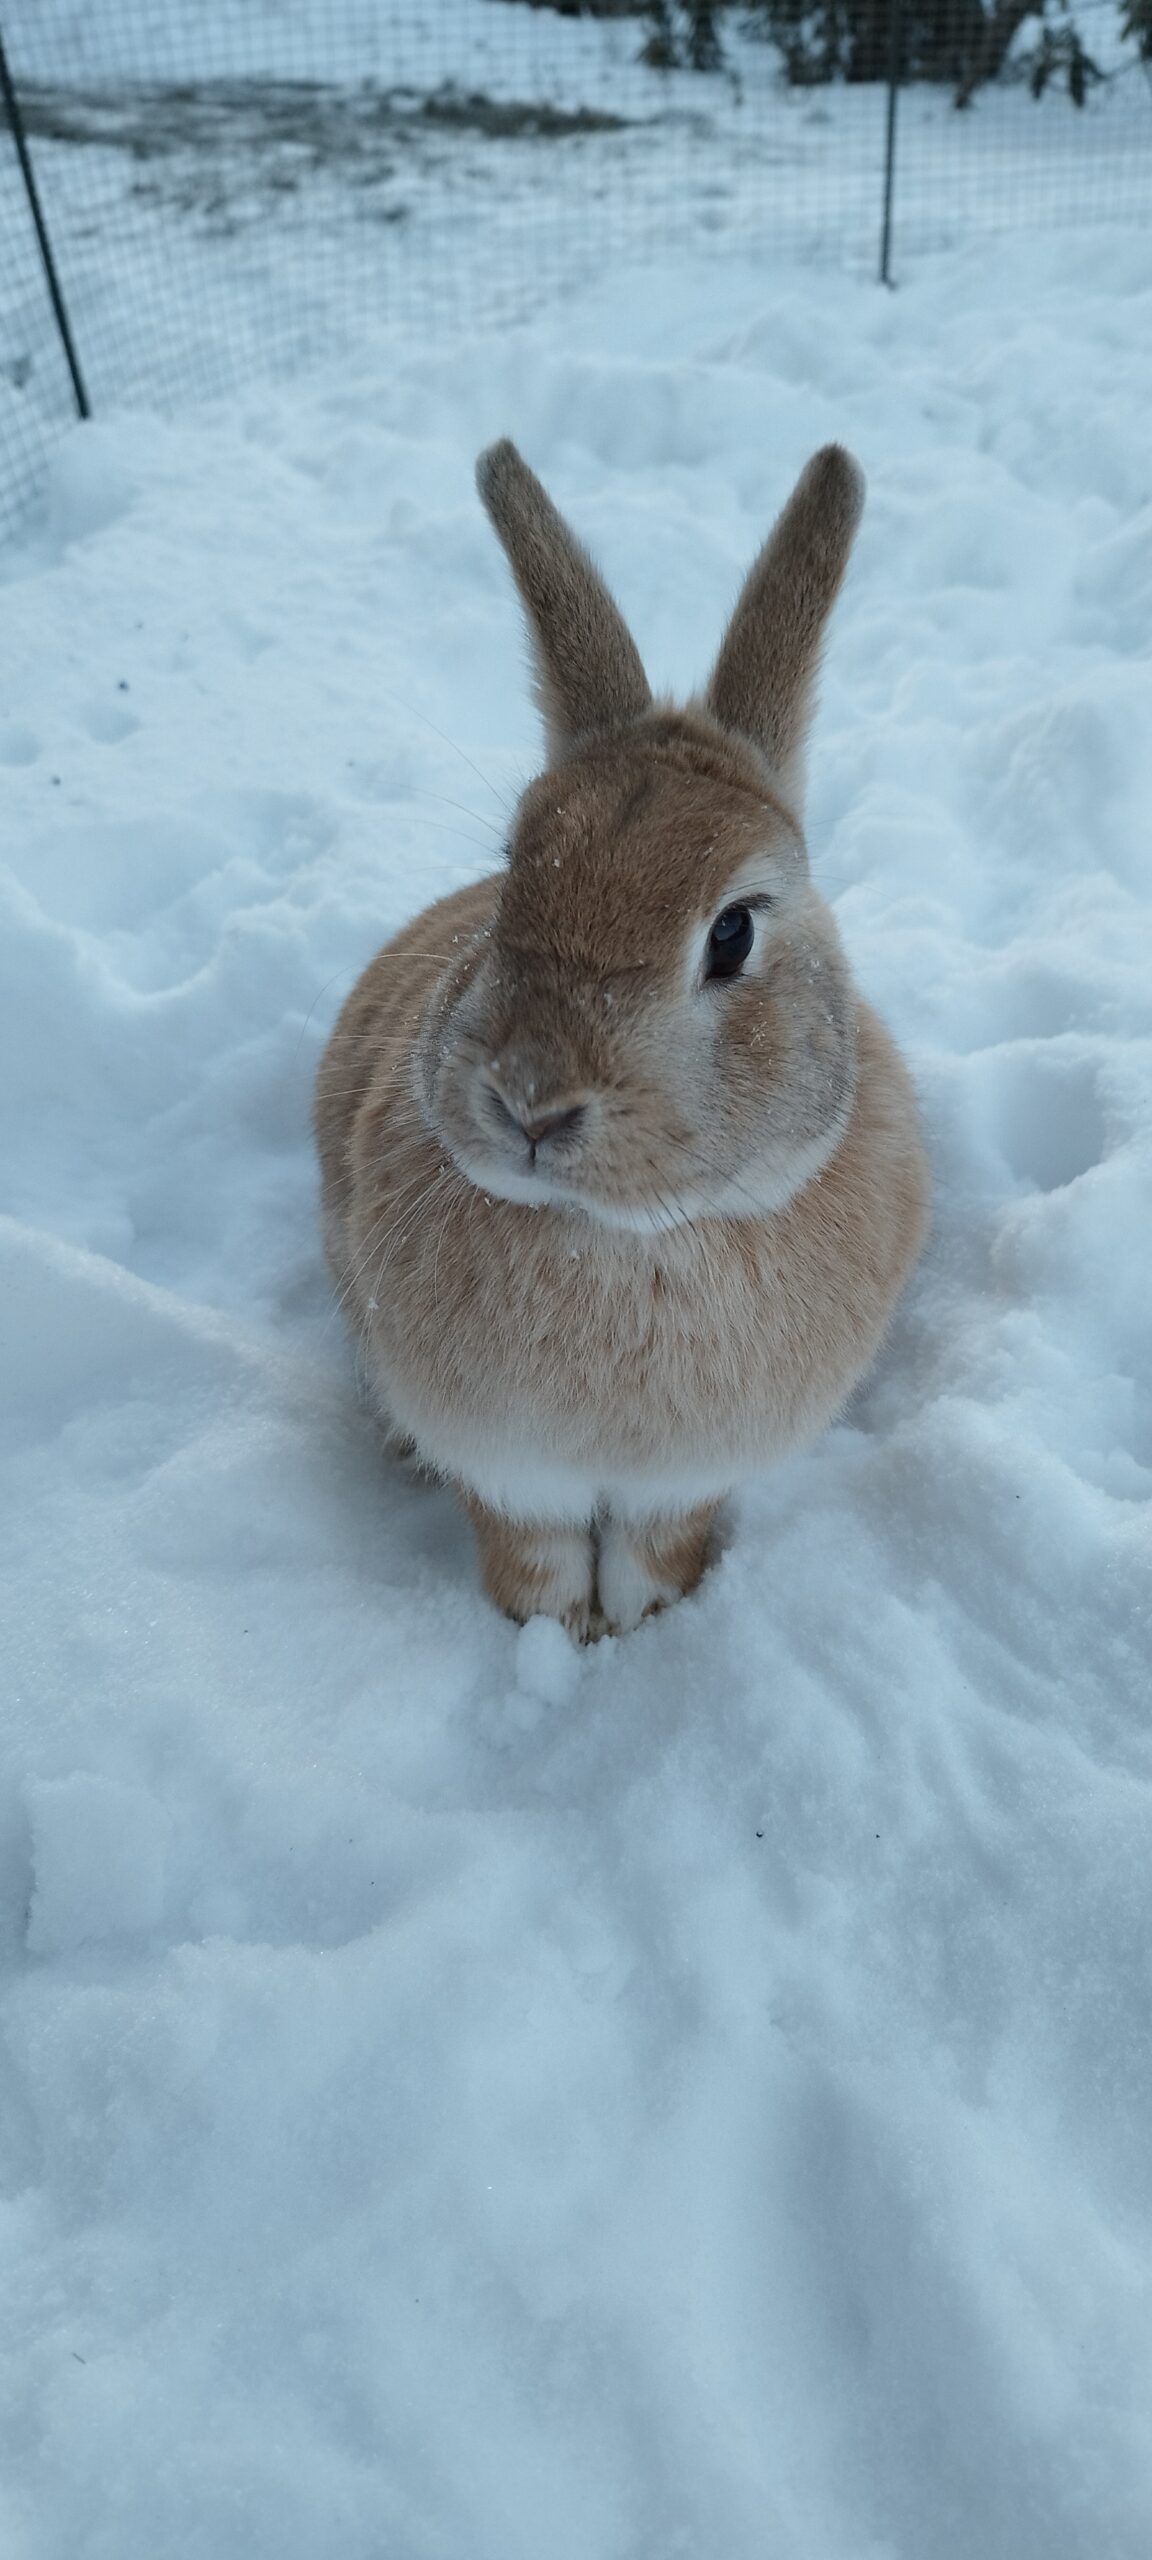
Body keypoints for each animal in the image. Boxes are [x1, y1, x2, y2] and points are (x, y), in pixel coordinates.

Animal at [314, 440, 926, 1638]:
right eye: (513, 870)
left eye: (733, 931)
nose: (530, 1102)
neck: (625, 1242)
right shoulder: (508, 1476)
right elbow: (534, 1570)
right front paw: (562, 1643)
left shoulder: (681, 1486)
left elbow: (655, 1553)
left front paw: (638, 1632)